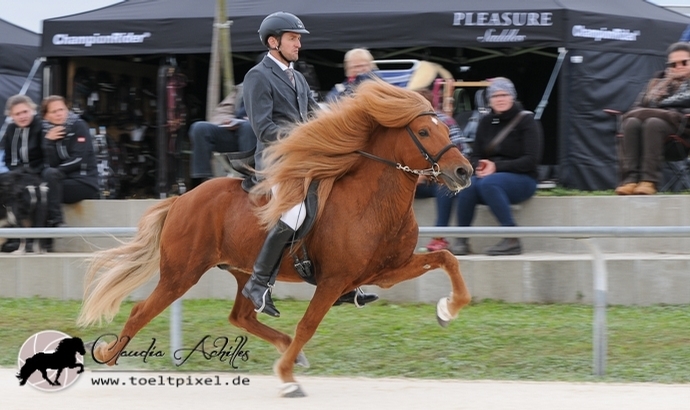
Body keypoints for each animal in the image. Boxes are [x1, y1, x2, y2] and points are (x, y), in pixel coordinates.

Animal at [76, 80, 472, 398]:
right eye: (423, 132)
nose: (464, 172)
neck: (372, 201)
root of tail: (180, 199)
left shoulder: (385, 271)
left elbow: (447, 259)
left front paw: (447, 310)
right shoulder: (334, 280)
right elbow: (308, 325)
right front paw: (286, 378)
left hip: (242, 272)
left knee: (240, 316)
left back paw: (286, 348)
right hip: (181, 273)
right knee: (142, 311)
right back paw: (109, 359)